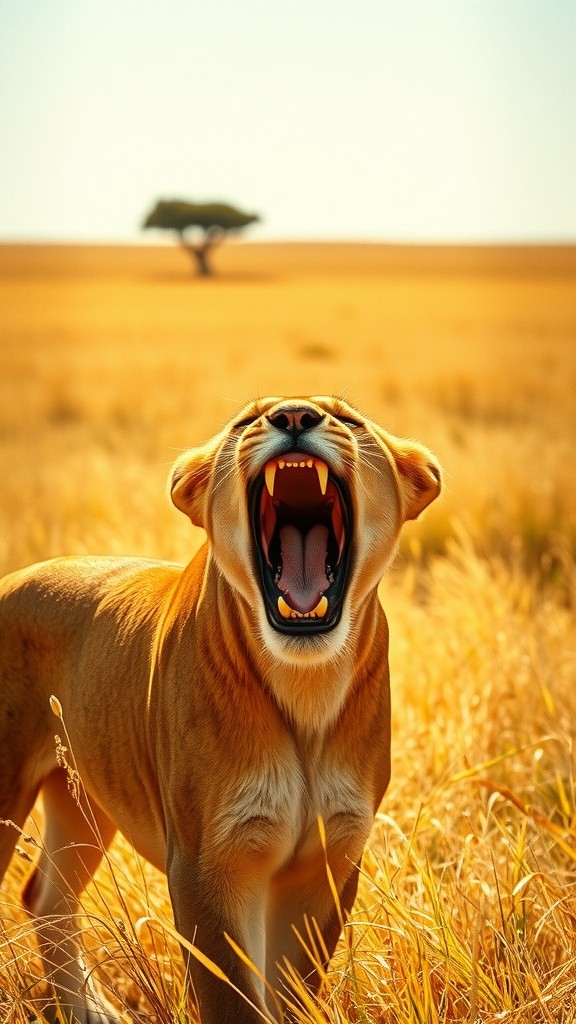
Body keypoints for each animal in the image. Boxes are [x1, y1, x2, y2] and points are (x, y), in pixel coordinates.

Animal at [0, 396, 440, 1023]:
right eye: (246, 421)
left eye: (349, 420)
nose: (295, 415)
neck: (306, 690)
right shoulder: (209, 862)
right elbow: (232, 997)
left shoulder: (327, 861)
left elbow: (291, 992)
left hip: (82, 796)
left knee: (46, 894)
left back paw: (93, 1012)